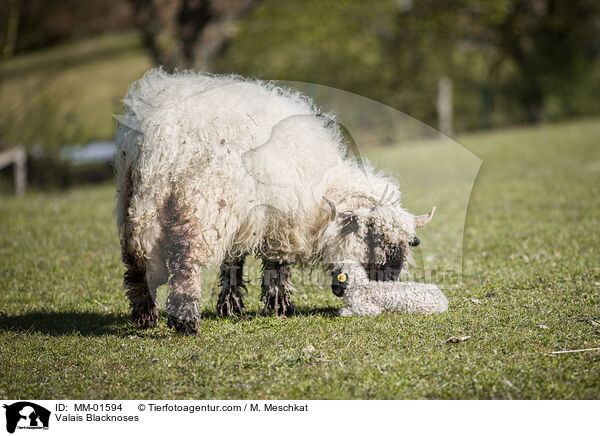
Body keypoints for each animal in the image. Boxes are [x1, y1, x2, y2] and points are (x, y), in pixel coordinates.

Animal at [116, 68, 436, 334]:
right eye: (373, 239)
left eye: (408, 245)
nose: (387, 284)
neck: (323, 193)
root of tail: (158, 133)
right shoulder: (281, 222)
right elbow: (277, 267)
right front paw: (281, 307)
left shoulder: (246, 218)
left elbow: (233, 263)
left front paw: (230, 307)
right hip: (203, 205)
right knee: (185, 261)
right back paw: (186, 321)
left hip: (137, 203)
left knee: (137, 263)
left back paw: (145, 315)